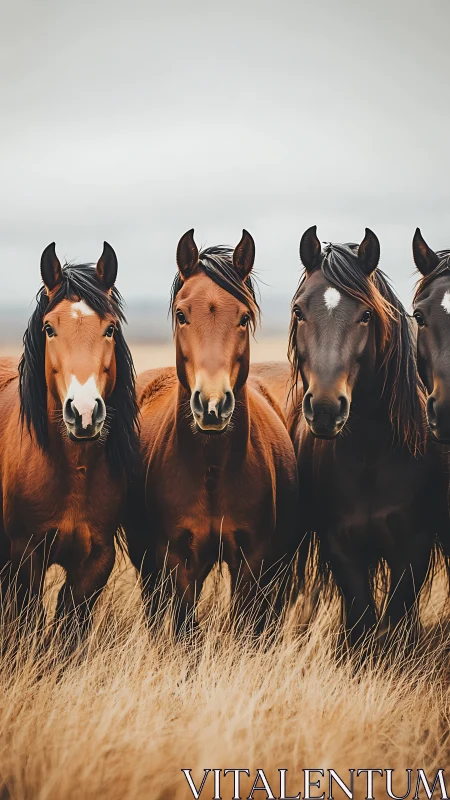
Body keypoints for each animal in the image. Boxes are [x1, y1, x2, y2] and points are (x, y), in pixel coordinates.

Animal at [0, 242, 138, 638]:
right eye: (49, 328)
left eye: (110, 328)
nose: (84, 412)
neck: (72, 472)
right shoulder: (25, 555)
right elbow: (28, 623)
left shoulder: (95, 562)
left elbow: (68, 632)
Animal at [125, 229, 298, 635]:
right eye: (181, 314)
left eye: (244, 316)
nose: (213, 404)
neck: (213, 471)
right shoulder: (179, 561)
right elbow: (185, 631)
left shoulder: (254, 560)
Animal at [287, 225, 449, 649]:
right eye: (299, 311)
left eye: (365, 315)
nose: (326, 408)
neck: (372, 458)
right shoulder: (341, 547)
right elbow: (361, 620)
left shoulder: (412, 548)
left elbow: (395, 618)